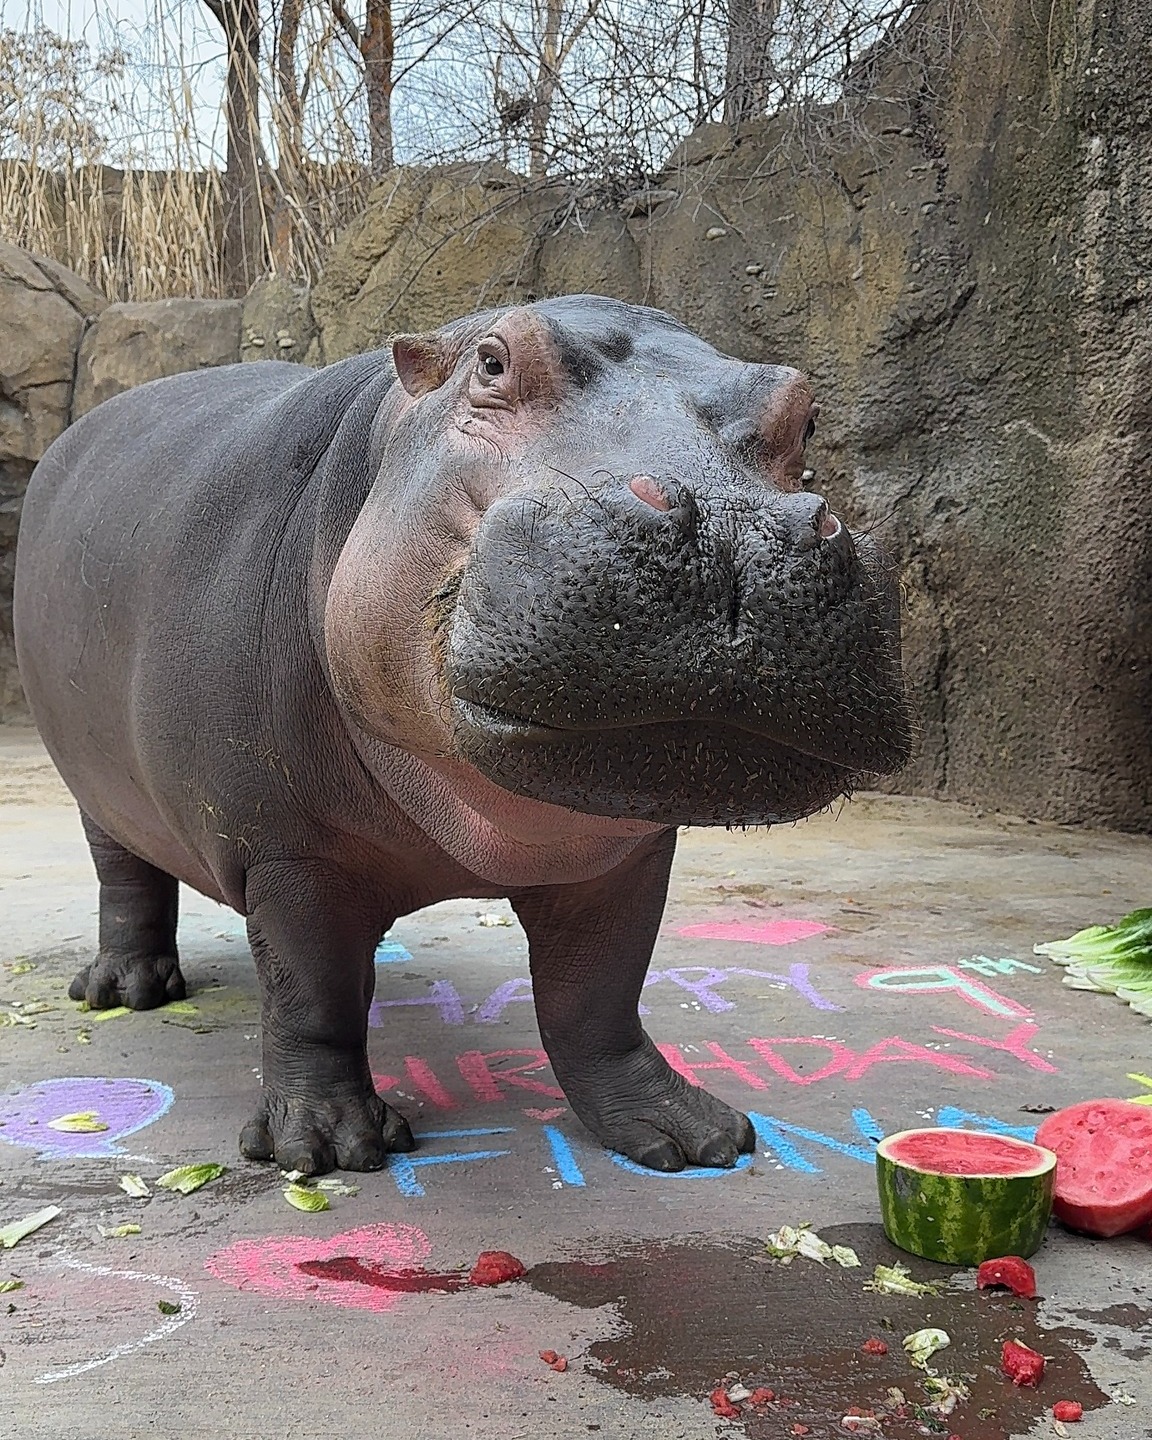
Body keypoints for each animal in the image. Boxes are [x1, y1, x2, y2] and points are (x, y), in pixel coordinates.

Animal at [13, 295, 909, 1176]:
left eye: (805, 413)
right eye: (492, 362)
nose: (732, 526)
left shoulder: (627, 858)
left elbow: (600, 998)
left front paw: (693, 1136)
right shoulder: (287, 848)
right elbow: (310, 994)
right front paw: (330, 1147)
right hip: (97, 791)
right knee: (126, 880)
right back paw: (126, 990)